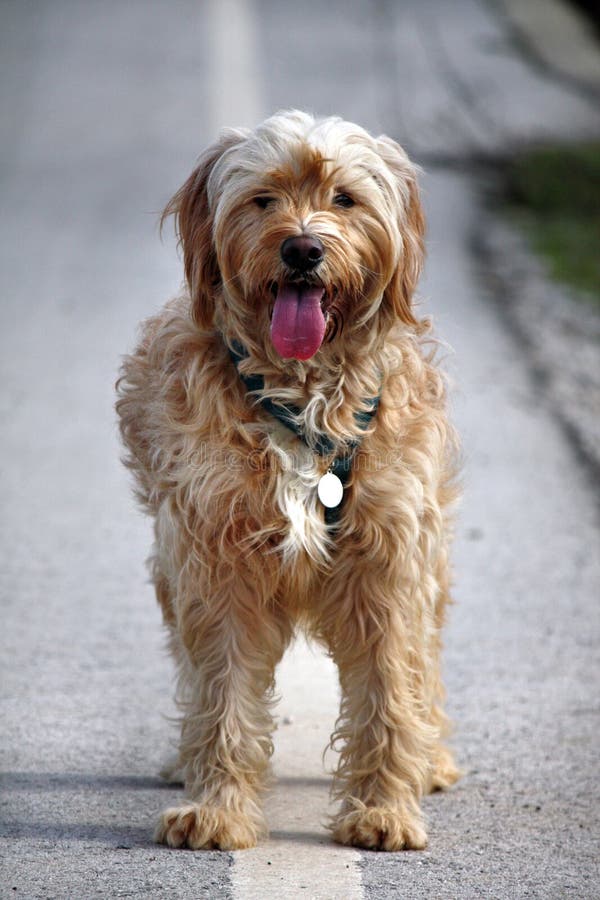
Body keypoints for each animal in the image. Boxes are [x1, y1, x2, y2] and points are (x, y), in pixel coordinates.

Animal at [115, 110, 460, 852]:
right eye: (264, 198)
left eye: (345, 199)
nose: (302, 249)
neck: (303, 397)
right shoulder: (216, 562)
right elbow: (220, 693)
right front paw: (217, 807)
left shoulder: (388, 563)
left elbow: (391, 690)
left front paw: (385, 808)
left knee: (427, 665)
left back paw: (433, 759)